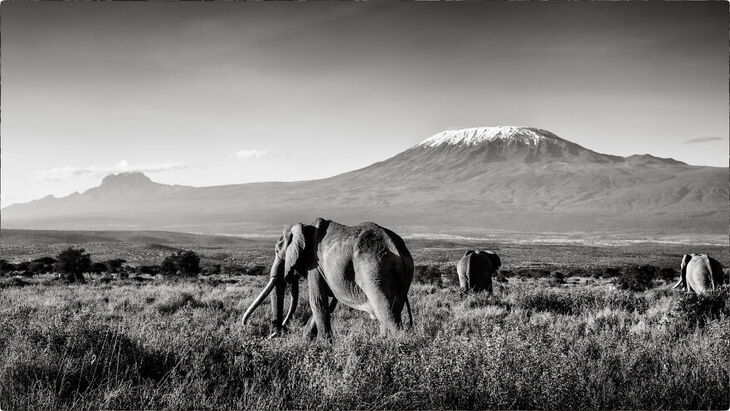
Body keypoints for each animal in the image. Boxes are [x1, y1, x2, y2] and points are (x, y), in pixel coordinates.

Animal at [239, 219, 410, 342]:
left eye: (276, 251)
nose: (247, 324)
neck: (305, 228)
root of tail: (396, 247)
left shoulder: (314, 264)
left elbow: (317, 300)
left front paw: (322, 345)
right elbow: (329, 303)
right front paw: (307, 339)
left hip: (373, 269)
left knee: (386, 313)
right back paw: (382, 343)